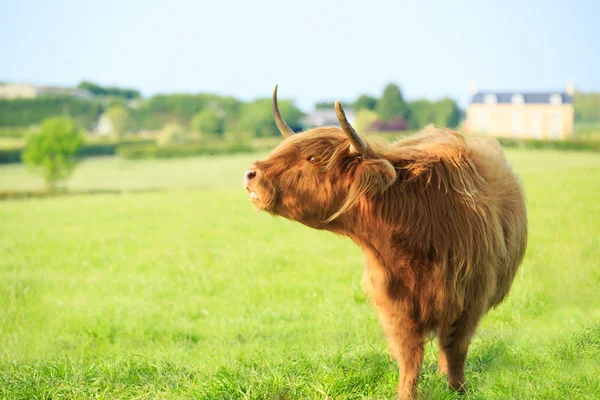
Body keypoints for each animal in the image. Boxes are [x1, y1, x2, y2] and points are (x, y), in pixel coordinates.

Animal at [241, 86, 528, 398]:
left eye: (314, 159)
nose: (251, 174)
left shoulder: (470, 298)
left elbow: (455, 348)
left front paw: (458, 390)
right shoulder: (394, 303)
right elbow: (409, 354)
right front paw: (407, 393)